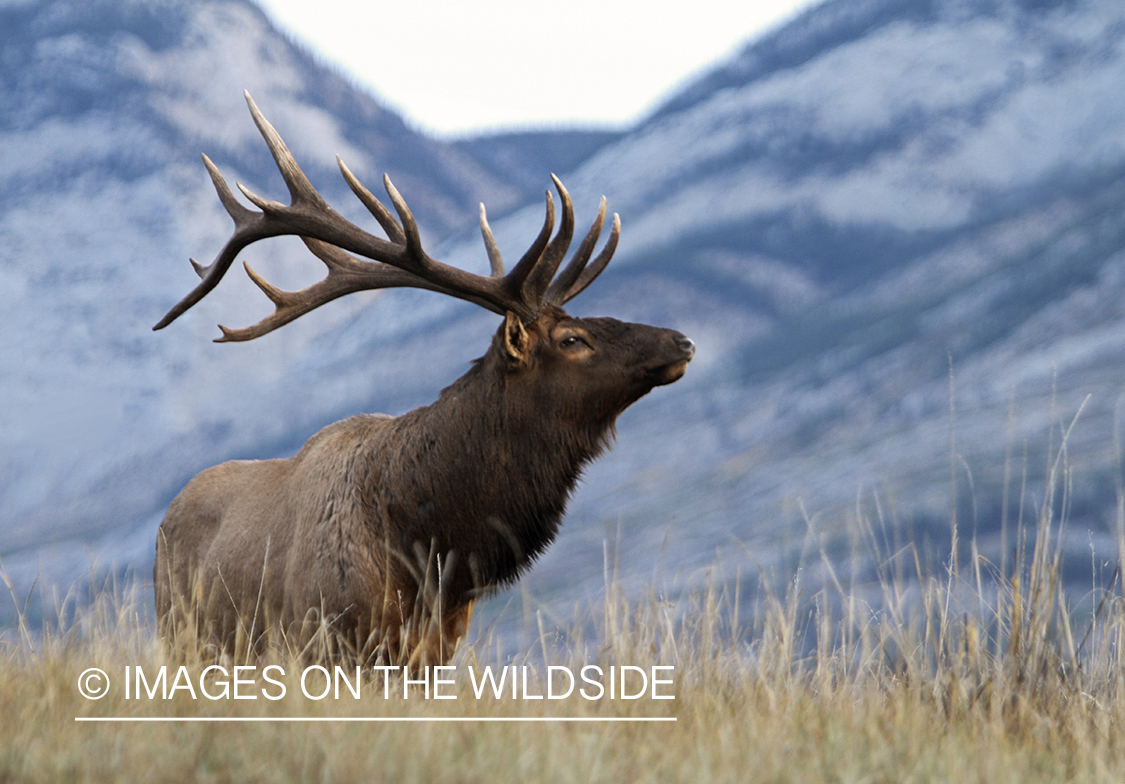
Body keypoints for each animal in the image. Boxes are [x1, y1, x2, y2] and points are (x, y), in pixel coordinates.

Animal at [151, 91, 693, 661]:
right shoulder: (326, 638)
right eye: (571, 340)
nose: (681, 341)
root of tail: (166, 519)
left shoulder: (433, 652)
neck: (429, 551)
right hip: (184, 636)